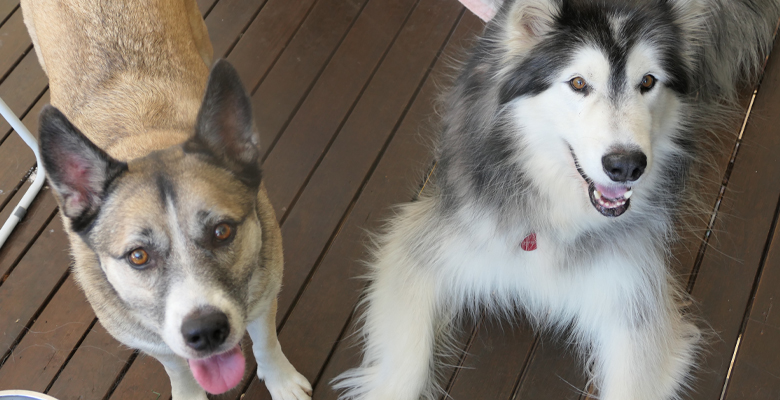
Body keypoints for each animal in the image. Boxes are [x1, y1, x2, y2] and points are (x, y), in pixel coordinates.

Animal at [19, 1, 310, 398]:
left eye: (222, 231)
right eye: (138, 256)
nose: (206, 331)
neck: (148, 140)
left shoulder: (264, 295)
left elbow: (266, 341)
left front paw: (281, 381)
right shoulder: (153, 342)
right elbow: (179, 370)